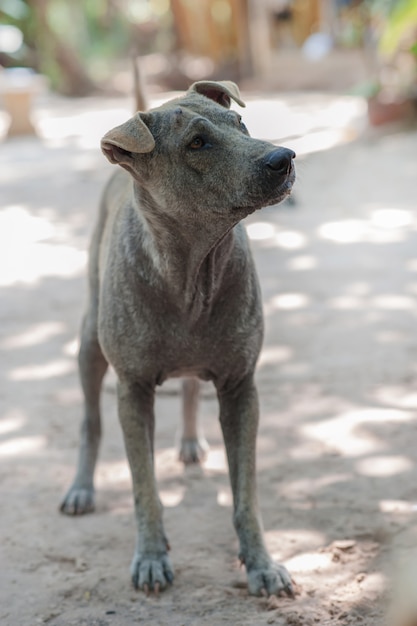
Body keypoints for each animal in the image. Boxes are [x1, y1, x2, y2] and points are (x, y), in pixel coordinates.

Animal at [61, 78, 296, 596]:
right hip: (89, 344)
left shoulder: (241, 388)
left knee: (189, 386)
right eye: (197, 143)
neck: (191, 272)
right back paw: (81, 487)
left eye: (240, 123)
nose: (284, 157)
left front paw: (261, 563)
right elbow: (143, 487)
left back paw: (189, 440)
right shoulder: (132, 391)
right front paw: (151, 556)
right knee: (89, 421)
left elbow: (246, 493)